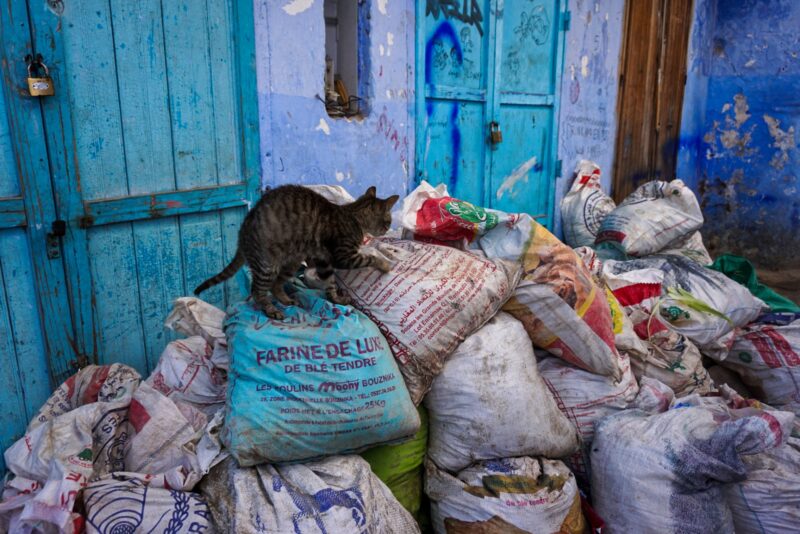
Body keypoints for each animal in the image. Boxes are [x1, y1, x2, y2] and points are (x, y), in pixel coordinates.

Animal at [191, 185, 396, 318]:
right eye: (388, 221)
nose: (387, 229)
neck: (354, 215)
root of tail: (242, 232)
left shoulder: (325, 261)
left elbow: (330, 283)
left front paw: (335, 298)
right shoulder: (343, 256)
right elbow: (369, 257)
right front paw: (385, 265)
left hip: (292, 262)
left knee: (275, 285)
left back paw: (286, 300)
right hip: (267, 265)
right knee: (257, 290)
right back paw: (271, 310)